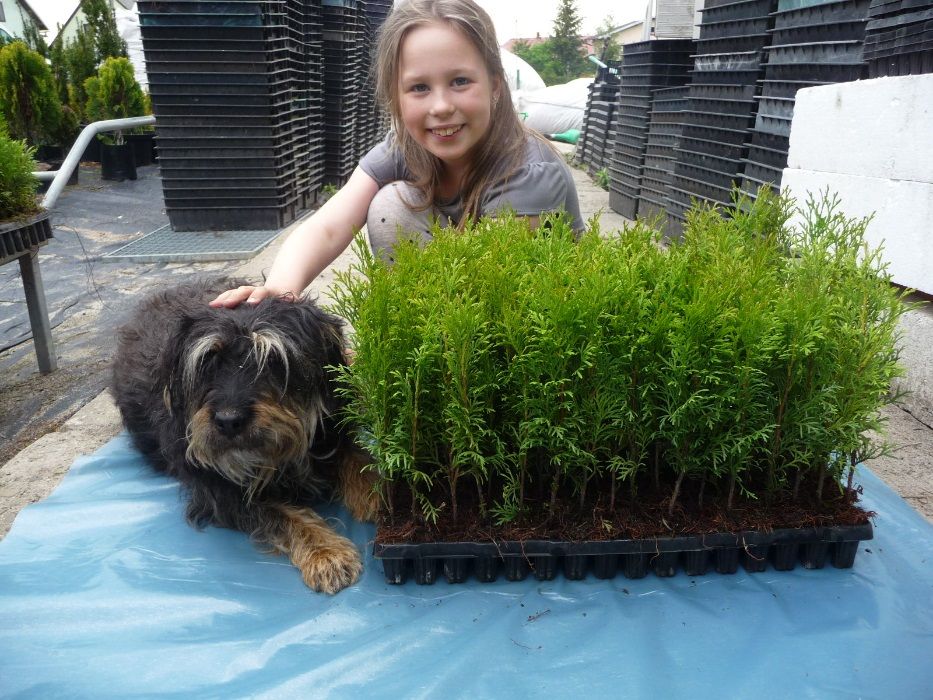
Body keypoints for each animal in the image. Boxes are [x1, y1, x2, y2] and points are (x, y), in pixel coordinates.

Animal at [109, 276, 372, 592]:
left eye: (273, 359)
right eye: (208, 361)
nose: (228, 421)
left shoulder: (329, 427)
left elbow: (353, 454)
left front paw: (379, 493)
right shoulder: (219, 491)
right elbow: (280, 515)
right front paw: (326, 552)